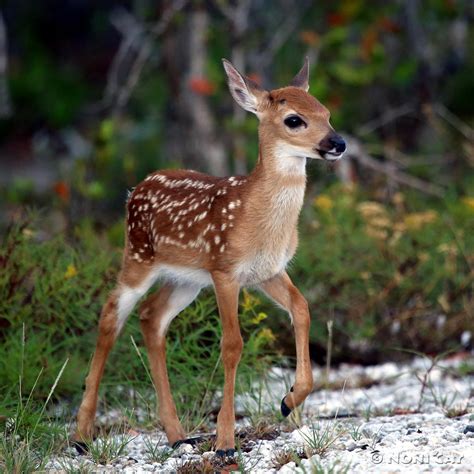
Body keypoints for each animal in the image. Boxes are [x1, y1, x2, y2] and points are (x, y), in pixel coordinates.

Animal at [73, 57, 344, 458]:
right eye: (294, 119)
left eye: (326, 113)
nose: (338, 142)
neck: (257, 216)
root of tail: (134, 189)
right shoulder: (225, 269)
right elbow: (232, 344)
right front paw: (226, 442)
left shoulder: (268, 271)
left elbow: (302, 308)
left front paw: (289, 400)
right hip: (138, 257)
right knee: (110, 316)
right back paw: (81, 435)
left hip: (185, 280)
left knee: (152, 317)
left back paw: (177, 434)